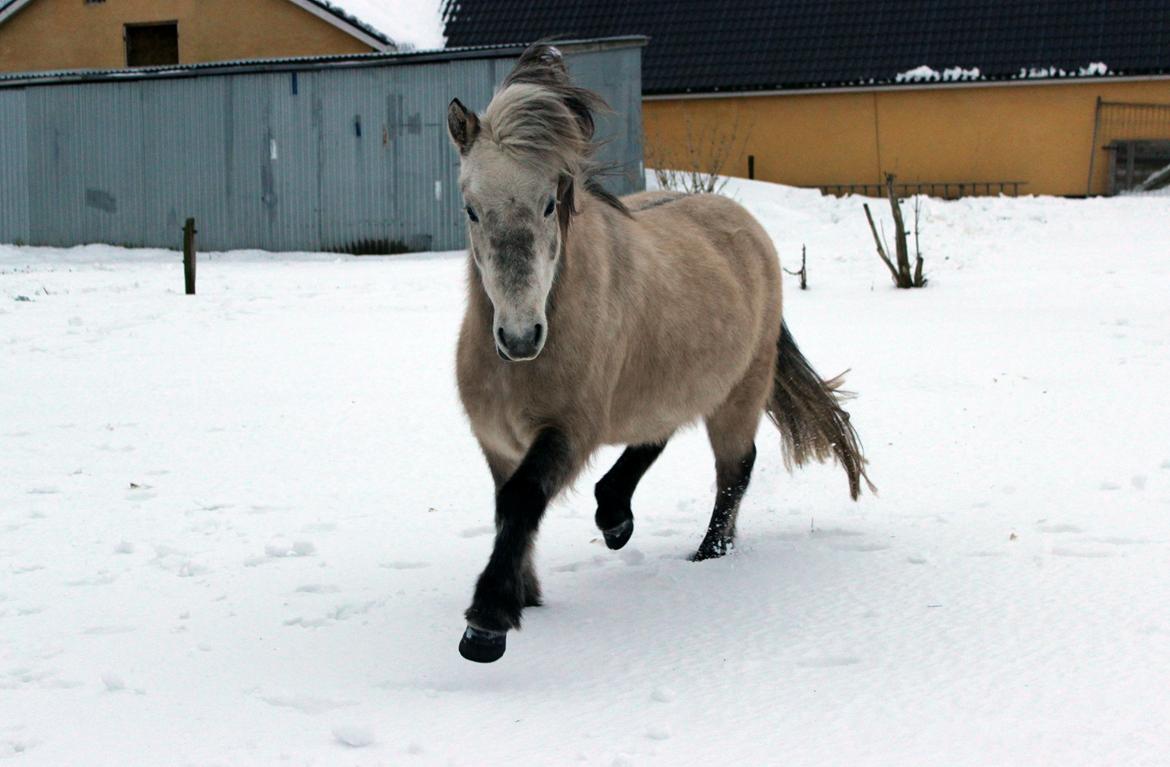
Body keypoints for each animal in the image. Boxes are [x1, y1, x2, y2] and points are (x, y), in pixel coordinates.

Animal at [446, 45, 870, 664]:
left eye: (549, 204)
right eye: (472, 209)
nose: (520, 338)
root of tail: (745, 226)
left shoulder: (569, 431)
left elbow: (523, 499)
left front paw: (488, 623)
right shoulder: (497, 440)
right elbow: (508, 506)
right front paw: (527, 595)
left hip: (741, 390)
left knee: (735, 468)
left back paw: (708, 553)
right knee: (659, 430)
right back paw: (615, 517)